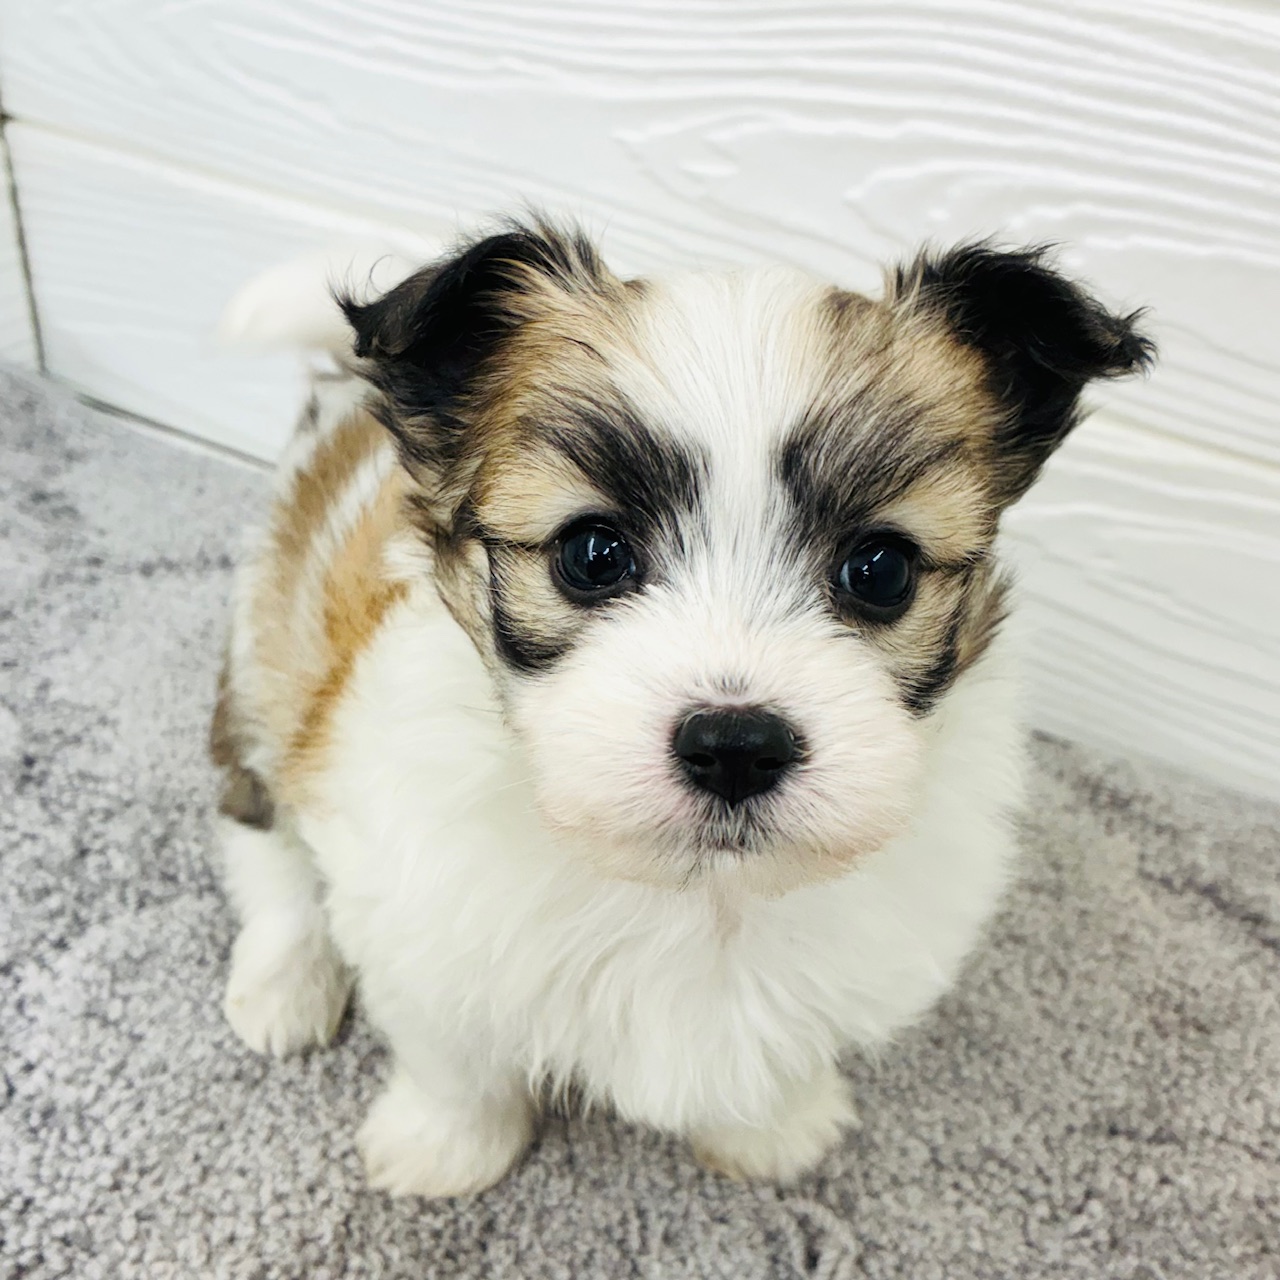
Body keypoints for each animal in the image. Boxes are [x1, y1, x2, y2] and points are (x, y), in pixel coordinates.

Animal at [211, 218, 1152, 1197]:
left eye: (881, 569)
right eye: (591, 554)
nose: (735, 744)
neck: (703, 893)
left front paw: (773, 1130)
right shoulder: (419, 911)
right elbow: (457, 1057)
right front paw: (447, 1147)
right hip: (266, 670)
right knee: (263, 841)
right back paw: (284, 981)